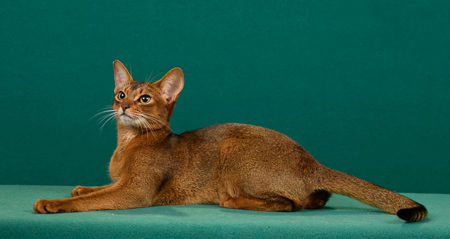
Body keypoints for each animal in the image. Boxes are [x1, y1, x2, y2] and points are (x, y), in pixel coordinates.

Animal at [33, 59, 428, 222]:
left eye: (144, 98)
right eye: (119, 93)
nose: (124, 106)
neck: (127, 143)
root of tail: (313, 163)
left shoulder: (135, 191)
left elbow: (93, 200)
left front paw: (52, 203)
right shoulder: (120, 182)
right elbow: (96, 189)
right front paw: (79, 187)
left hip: (232, 148)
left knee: (289, 204)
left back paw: (231, 201)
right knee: (313, 200)